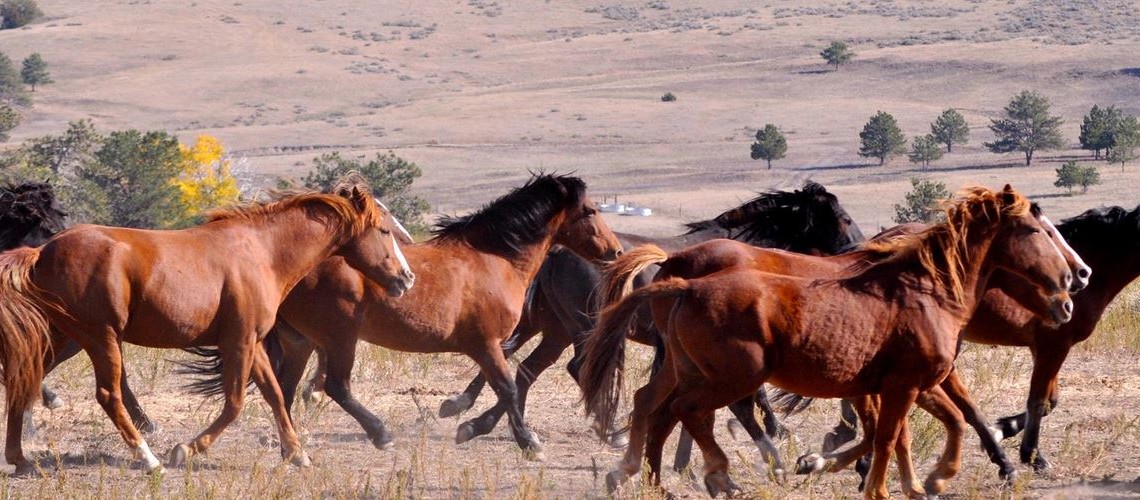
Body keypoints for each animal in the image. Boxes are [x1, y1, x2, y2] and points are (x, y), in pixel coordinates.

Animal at [0, 179, 415, 476]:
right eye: (383, 230)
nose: (406, 278)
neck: (264, 252)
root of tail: (41, 252)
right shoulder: (238, 342)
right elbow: (235, 403)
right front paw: (185, 450)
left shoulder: (254, 342)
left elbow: (274, 395)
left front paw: (297, 455)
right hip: (99, 336)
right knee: (107, 395)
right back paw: (148, 458)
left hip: (63, 337)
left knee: (24, 382)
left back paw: (20, 459)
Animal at [581, 186, 1075, 499]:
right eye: (1037, 230)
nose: (1074, 282)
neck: (925, 288)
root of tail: (680, 278)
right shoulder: (901, 385)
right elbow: (892, 434)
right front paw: (874, 481)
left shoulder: (908, 383)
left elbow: (931, 425)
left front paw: (923, 482)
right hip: (733, 374)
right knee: (694, 410)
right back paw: (724, 475)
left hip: (685, 368)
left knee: (657, 406)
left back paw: (649, 478)